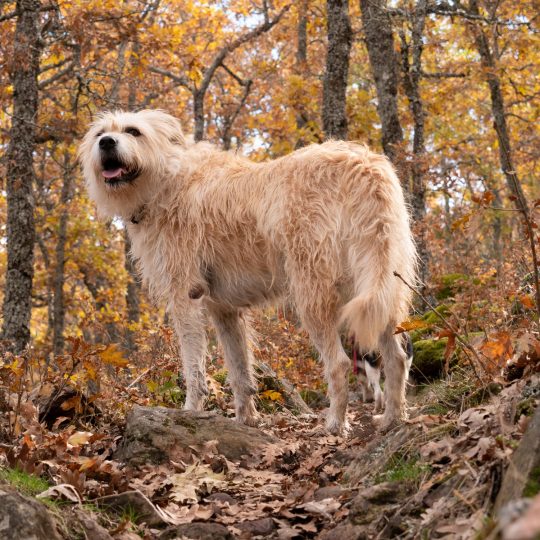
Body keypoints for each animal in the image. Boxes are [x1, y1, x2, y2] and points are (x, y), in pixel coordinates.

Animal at [79, 109, 418, 434]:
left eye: (133, 131)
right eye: (100, 133)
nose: (107, 143)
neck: (166, 179)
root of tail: (364, 165)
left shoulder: (185, 297)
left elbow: (194, 368)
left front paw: (189, 413)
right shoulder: (224, 310)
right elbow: (239, 371)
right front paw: (246, 420)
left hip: (312, 294)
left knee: (339, 364)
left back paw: (335, 424)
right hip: (378, 287)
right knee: (397, 358)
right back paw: (392, 419)